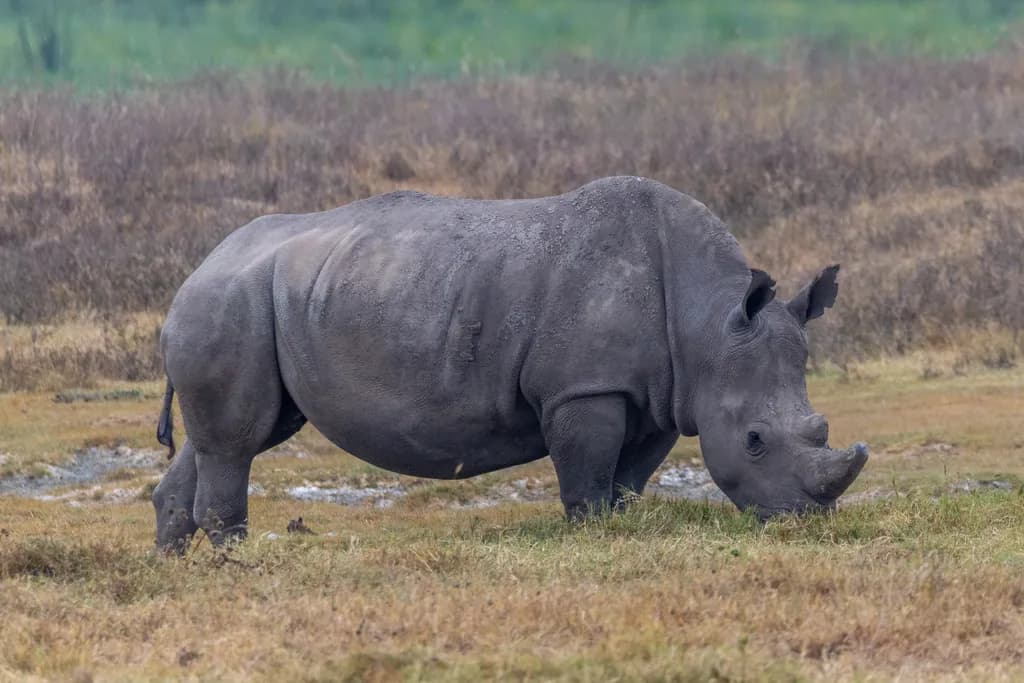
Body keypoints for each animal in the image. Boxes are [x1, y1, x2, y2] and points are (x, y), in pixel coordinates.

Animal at [153, 176, 867, 550]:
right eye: (754, 441)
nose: (807, 523)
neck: (709, 321)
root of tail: (198, 268)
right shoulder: (584, 389)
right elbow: (587, 478)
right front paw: (590, 538)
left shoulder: (663, 393)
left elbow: (628, 479)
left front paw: (621, 527)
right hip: (231, 300)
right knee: (238, 441)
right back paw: (237, 564)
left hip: (266, 297)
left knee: (234, 438)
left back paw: (180, 568)